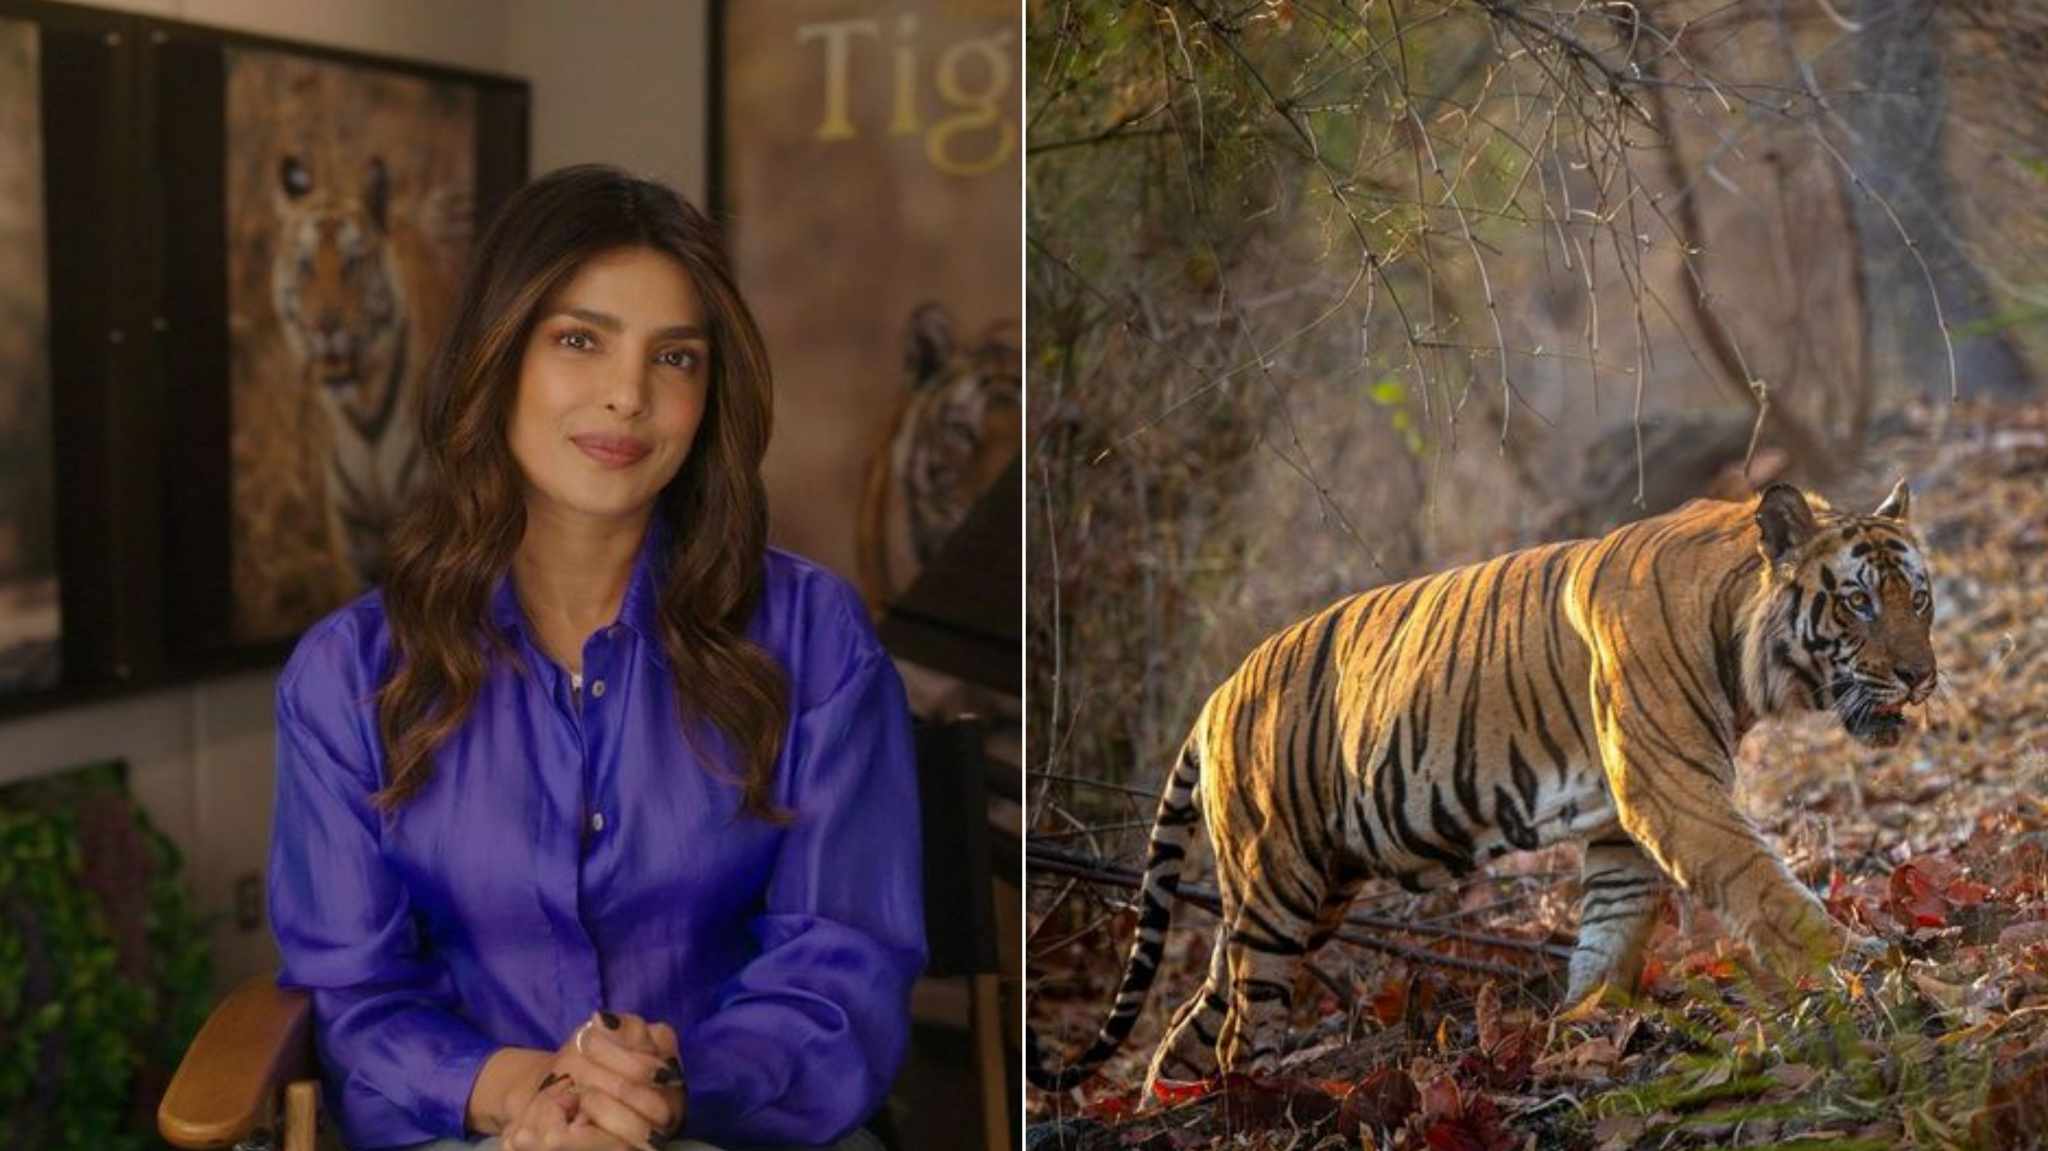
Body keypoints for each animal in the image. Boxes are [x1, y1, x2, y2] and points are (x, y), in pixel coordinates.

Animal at [1027, 480, 1935, 1097]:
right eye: (1857, 601)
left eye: (1919, 598)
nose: (1920, 676)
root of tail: (1215, 695)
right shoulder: (1673, 794)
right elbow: (1766, 888)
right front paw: (1857, 963)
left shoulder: (1622, 822)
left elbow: (1610, 933)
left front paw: (1582, 1026)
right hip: (1277, 884)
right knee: (1238, 1029)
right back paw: (1260, 1100)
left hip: (1296, 897)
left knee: (1193, 1020)